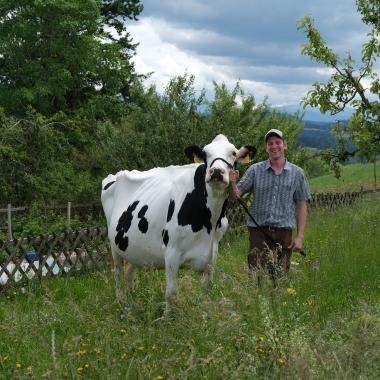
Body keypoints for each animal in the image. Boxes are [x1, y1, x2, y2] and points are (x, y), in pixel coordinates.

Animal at [101, 135, 255, 314]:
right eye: (205, 153)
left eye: (234, 153)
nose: (216, 172)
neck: (209, 222)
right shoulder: (171, 252)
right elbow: (171, 293)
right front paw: (168, 318)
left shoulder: (212, 254)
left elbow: (207, 290)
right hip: (114, 247)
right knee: (118, 275)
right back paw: (120, 303)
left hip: (132, 247)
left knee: (129, 273)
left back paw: (130, 304)